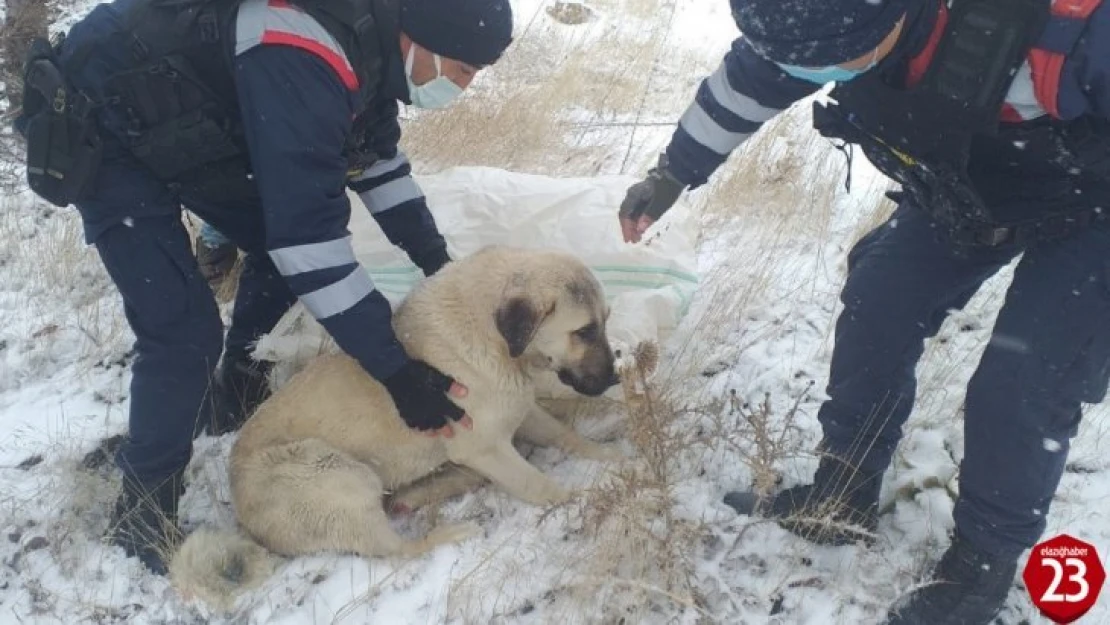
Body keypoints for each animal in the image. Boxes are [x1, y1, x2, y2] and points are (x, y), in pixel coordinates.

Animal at [174, 245, 626, 612]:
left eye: (605, 322)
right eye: (584, 331)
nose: (614, 379)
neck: (491, 338)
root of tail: (241, 518)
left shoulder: (520, 410)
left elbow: (567, 436)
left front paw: (610, 457)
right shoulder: (485, 446)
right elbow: (542, 485)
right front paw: (587, 494)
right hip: (341, 474)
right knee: (396, 549)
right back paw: (451, 532)